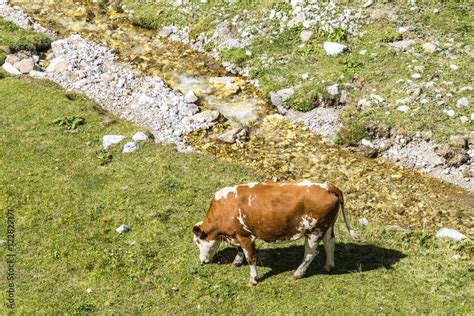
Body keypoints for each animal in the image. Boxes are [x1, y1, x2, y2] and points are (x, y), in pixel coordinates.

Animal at [191, 179, 358, 286]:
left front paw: (253, 280)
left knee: (311, 253)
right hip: (327, 226)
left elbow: (251, 258)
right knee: (330, 243)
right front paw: (236, 262)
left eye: (198, 241)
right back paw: (329, 266)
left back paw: (297, 274)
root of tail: (327, 186)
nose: (202, 260)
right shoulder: (238, 233)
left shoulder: (246, 235)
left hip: (314, 231)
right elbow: (239, 250)